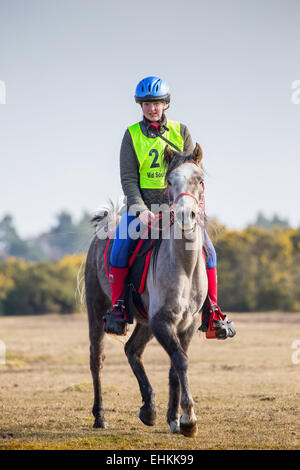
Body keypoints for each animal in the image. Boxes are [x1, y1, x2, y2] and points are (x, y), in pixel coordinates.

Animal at [83, 143, 207, 436]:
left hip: (144, 323)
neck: (184, 265)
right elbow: (181, 361)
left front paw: (174, 419)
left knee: (132, 351)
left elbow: (175, 366)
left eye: (199, 180)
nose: (185, 215)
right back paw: (100, 417)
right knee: (97, 359)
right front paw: (189, 419)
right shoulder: (162, 321)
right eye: (170, 181)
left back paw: (149, 409)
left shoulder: (186, 324)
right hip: (97, 312)